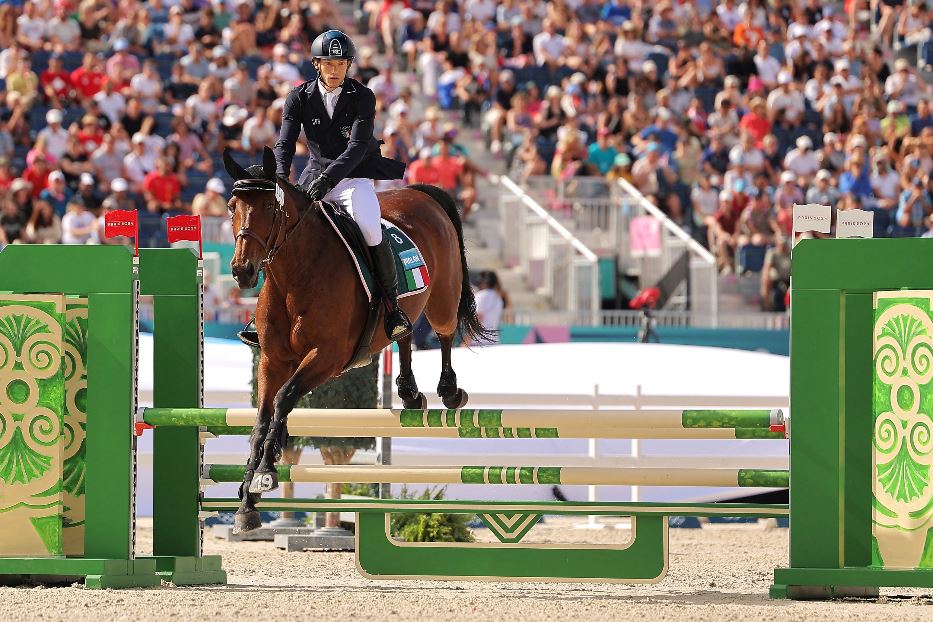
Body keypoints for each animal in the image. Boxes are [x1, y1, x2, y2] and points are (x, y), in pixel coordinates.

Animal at [225, 149, 488, 532]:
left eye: (271, 207)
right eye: (232, 206)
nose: (242, 271)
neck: (294, 276)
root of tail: (419, 193)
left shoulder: (327, 356)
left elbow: (284, 398)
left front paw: (265, 472)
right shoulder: (273, 359)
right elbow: (262, 417)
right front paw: (247, 501)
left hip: (442, 297)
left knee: (444, 332)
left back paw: (449, 391)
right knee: (405, 332)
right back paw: (409, 392)